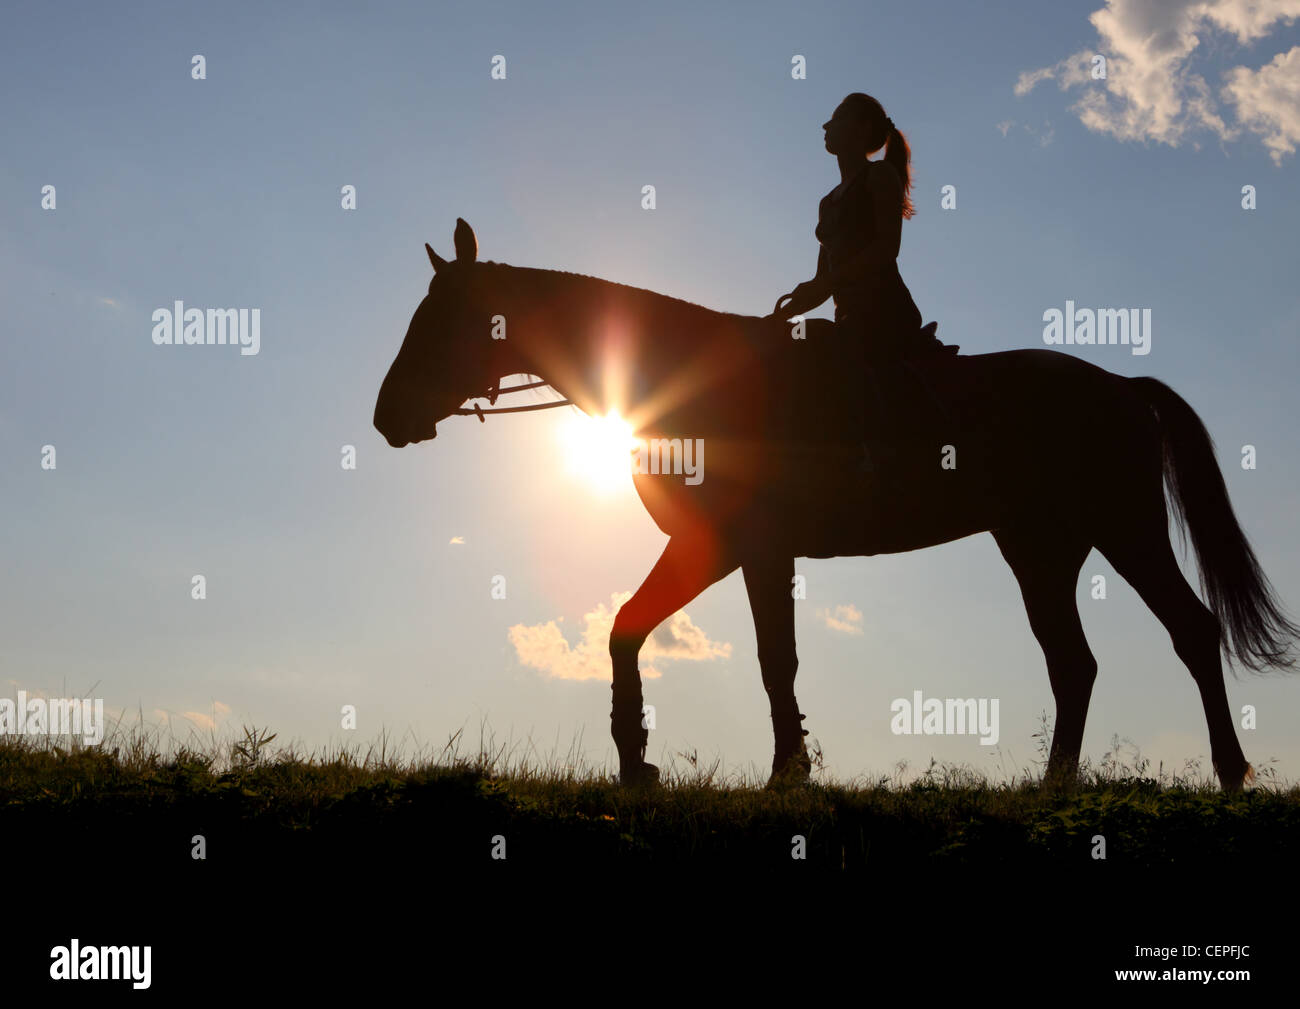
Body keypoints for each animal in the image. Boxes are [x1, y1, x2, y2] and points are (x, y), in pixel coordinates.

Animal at [371, 217, 1294, 790]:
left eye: (440, 319)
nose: (385, 417)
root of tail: (1122, 386)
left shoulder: (743, 548)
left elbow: (769, 658)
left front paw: (782, 769)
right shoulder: (722, 549)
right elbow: (632, 629)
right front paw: (640, 762)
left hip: (1124, 529)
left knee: (1190, 630)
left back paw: (1229, 769)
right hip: (1040, 548)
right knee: (1075, 662)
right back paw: (1054, 783)